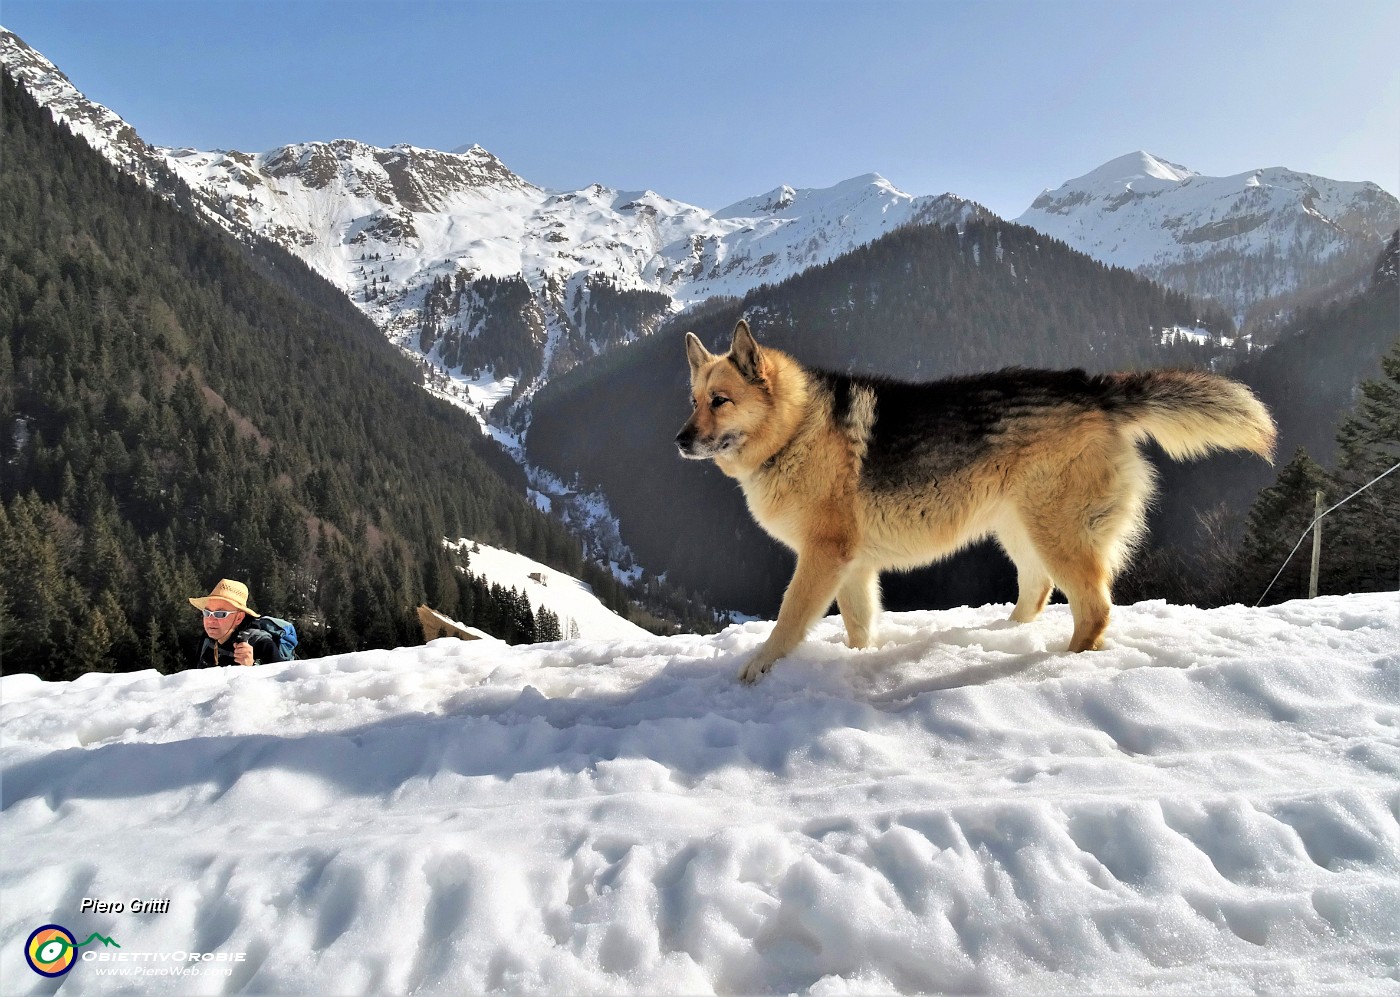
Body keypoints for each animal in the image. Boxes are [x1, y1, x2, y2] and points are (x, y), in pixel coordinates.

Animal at [672, 323, 1276, 680]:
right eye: (694, 401)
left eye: (721, 401)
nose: (678, 441)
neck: (797, 429)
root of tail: (1096, 388)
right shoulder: (853, 567)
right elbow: (860, 628)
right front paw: (859, 665)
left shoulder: (823, 558)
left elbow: (788, 619)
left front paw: (758, 670)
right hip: (1019, 530)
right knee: (1039, 590)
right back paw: (1006, 636)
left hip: (1054, 532)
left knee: (1095, 607)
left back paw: (1059, 664)